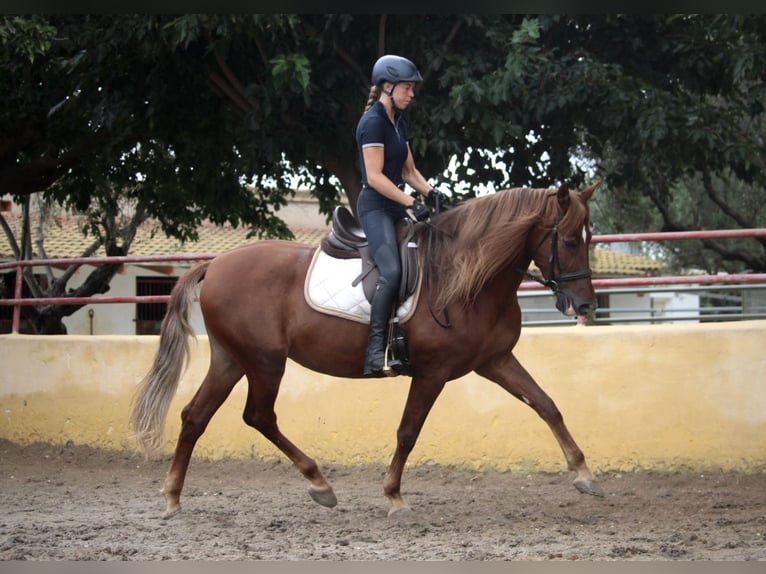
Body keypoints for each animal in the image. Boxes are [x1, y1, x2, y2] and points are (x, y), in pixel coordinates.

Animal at [129, 182, 608, 520]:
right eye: (569, 241)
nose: (585, 305)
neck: (464, 276)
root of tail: (216, 264)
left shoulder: (494, 361)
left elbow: (546, 405)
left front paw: (585, 475)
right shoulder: (432, 373)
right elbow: (408, 431)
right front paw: (394, 496)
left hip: (232, 360)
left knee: (195, 416)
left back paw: (172, 498)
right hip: (265, 362)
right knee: (259, 416)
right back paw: (319, 485)